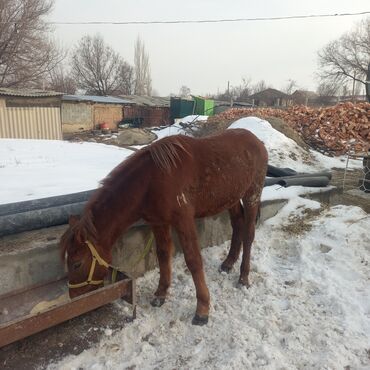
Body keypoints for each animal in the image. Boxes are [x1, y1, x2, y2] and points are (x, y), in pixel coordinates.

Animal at [61, 129, 268, 326]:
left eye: (77, 263)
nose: (75, 298)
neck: (151, 181)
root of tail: (257, 141)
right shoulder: (158, 222)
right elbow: (162, 255)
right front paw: (161, 293)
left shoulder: (184, 221)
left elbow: (193, 260)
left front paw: (203, 309)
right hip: (231, 198)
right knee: (237, 225)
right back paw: (228, 262)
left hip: (252, 194)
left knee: (248, 234)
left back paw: (243, 278)